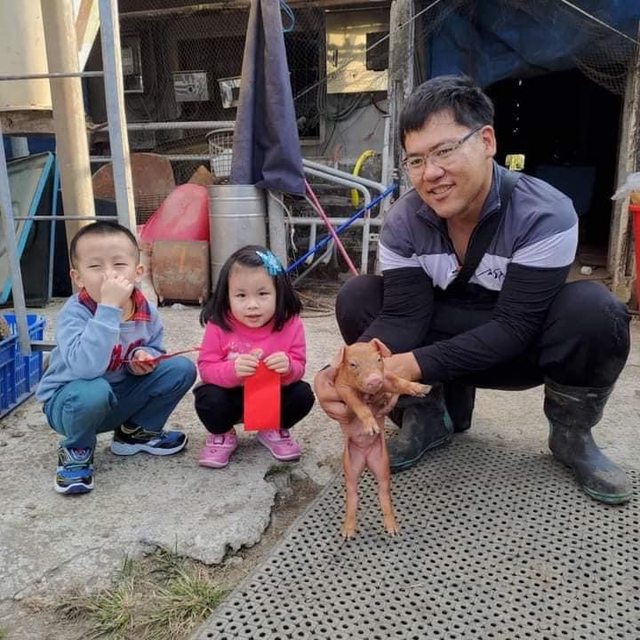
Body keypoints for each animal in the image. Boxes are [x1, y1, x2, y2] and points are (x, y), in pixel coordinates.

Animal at [332, 338, 431, 539]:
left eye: (378, 359)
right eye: (352, 364)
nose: (374, 380)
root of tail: (365, 459)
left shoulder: (387, 378)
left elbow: (400, 382)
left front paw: (423, 389)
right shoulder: (342, 389)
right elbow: (359, 405)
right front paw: (371, 428)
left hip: (382, 463)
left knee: (384, 494)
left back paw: (393, 529)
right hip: (350, 466)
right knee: (352, 496)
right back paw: (347, 532)